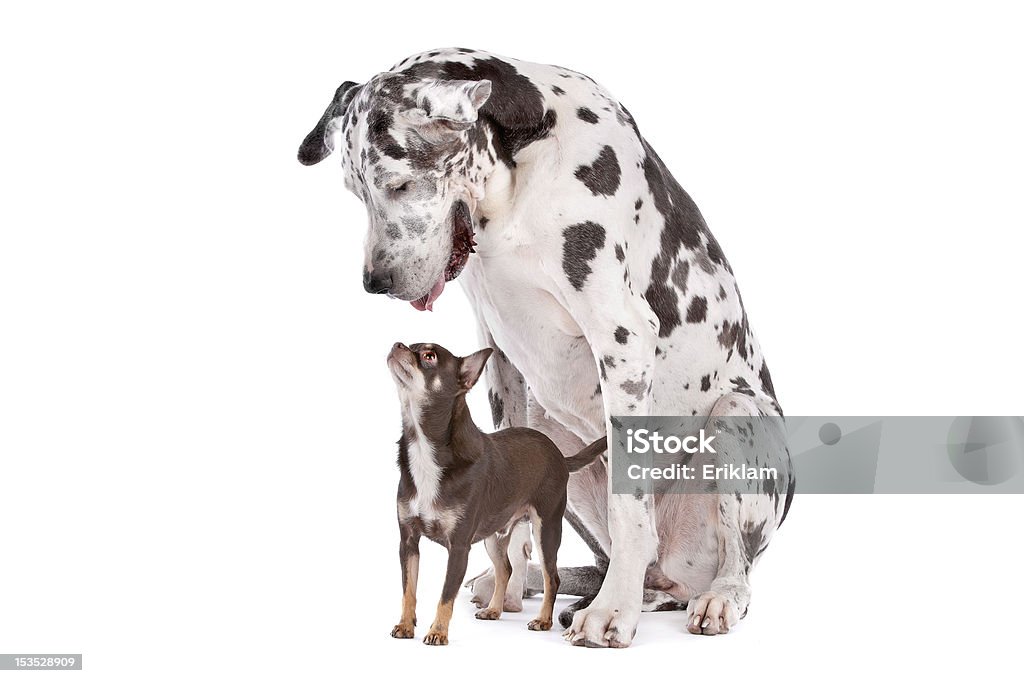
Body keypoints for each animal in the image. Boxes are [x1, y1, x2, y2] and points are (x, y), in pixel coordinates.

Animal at [299, 48, 794, 647]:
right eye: (357, 192)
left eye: (398, 185)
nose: (376, 281)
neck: (521, 173)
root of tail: (673, 580)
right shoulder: (498, 352)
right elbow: (505, 515)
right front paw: (507, 592)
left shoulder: (621, 333)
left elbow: (630, 511)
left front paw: (612, 612)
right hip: (552, 426)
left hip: (737, 418)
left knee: (733, 561)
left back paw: (713, 597)